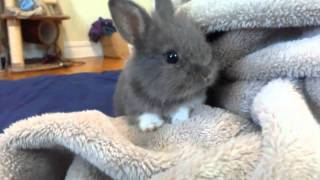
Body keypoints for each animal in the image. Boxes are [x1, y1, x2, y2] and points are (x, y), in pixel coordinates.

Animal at [109, 0, 219, 131]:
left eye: (204, 42)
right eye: (171, 57)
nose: (208, 74)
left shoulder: (193, 100)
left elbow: (183, 107)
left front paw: (179, 120)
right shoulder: (132, 104)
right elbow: (143, 113)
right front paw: (152, 126)